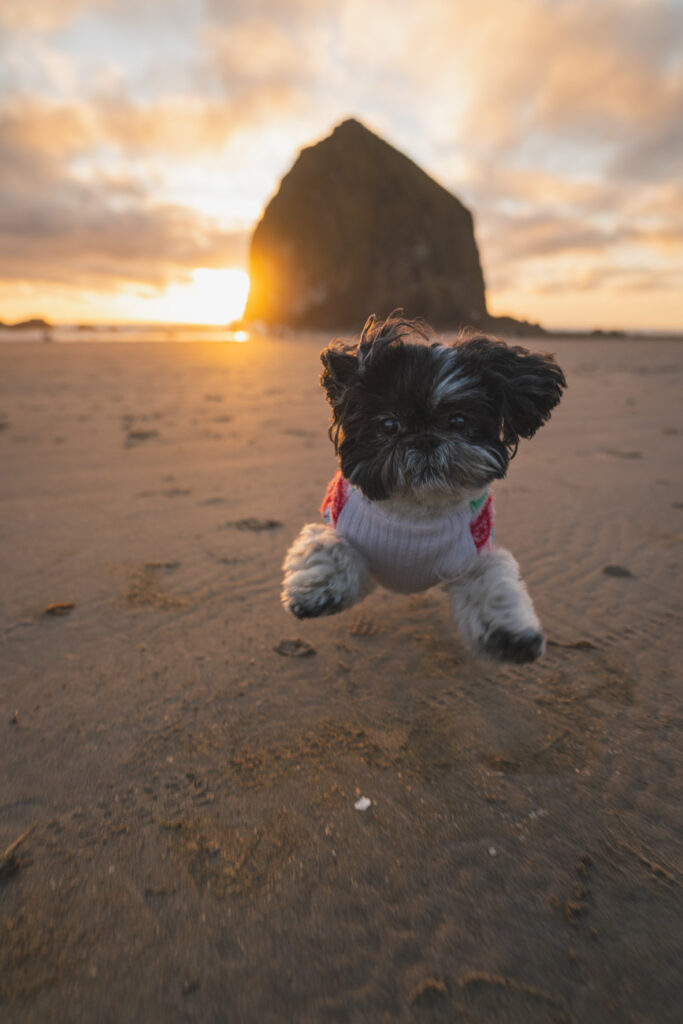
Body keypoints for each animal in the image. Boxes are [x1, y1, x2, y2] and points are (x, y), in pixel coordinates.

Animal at [278, 313, 565, 663]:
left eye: (458, 421)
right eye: (390, 425)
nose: (425, 440)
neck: (416, 515)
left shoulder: (470, 557)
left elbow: (490, 581)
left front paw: (511, 635)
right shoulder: (342, 524)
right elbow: (331, 546)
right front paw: (319, 591)